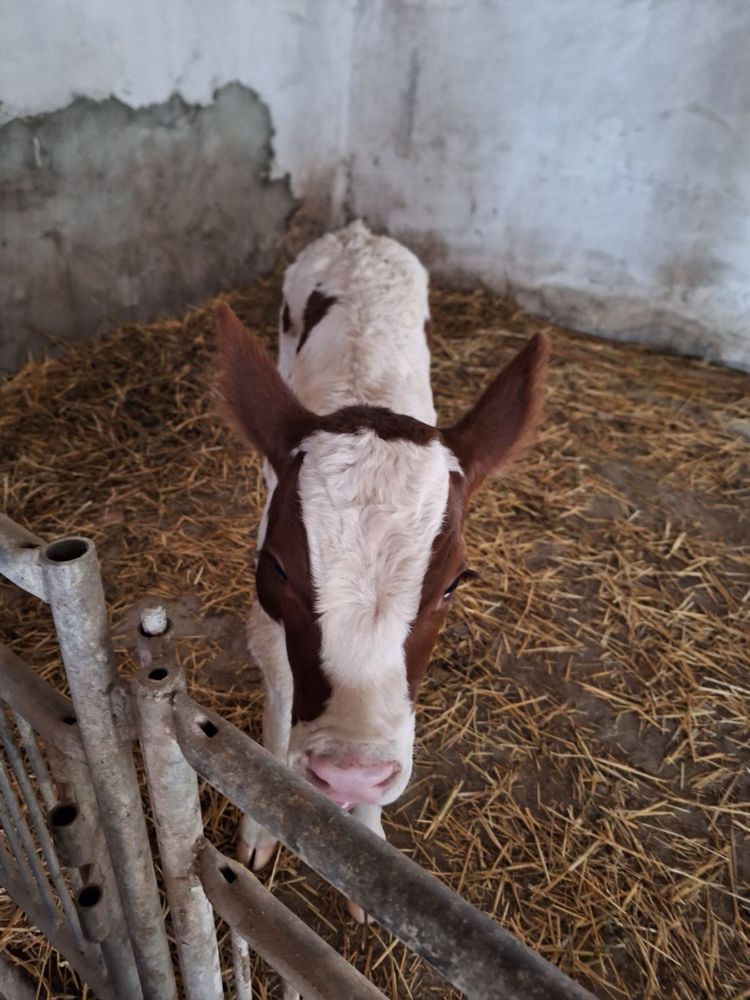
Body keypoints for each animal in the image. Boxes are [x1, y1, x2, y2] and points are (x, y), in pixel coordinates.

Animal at [214, 221, 548, 920]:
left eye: (453, 584)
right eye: (277, 568)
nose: (349, 772)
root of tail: (357, 234)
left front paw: (364, 843)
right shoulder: (265, 620)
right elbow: (279, 703)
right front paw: (263, 823)